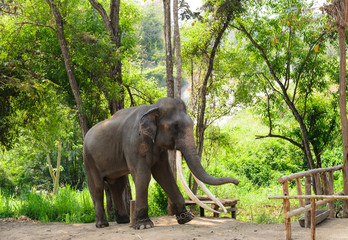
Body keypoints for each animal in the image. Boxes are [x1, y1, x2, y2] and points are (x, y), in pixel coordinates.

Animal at [83, 96, 241, 230]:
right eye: (175, 127)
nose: (238, 182)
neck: (152, 108)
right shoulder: (134, 143)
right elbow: (143, 176)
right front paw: (144, 226)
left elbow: (164, 174)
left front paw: (186, 218)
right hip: (89, 158)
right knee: (97, 187)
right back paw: (102, 225)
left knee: (118, 185)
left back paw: (124, 221)